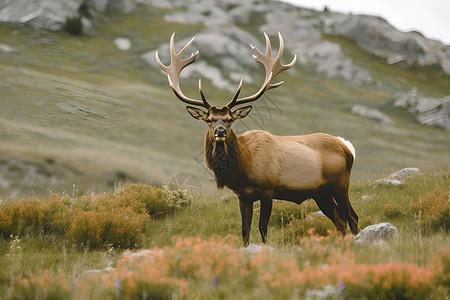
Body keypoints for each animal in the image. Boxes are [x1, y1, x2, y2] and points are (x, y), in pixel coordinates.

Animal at [155, 32, 358, 246]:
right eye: (209, 120)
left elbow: (262, 228)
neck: (243, 167)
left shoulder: (268, 188)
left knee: (352, 217)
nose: (220, 131)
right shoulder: (243, 196)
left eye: (230, 119)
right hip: (321, 192)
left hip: (340, 183)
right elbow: (244, 230)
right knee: (340, 220)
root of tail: (347, 147)